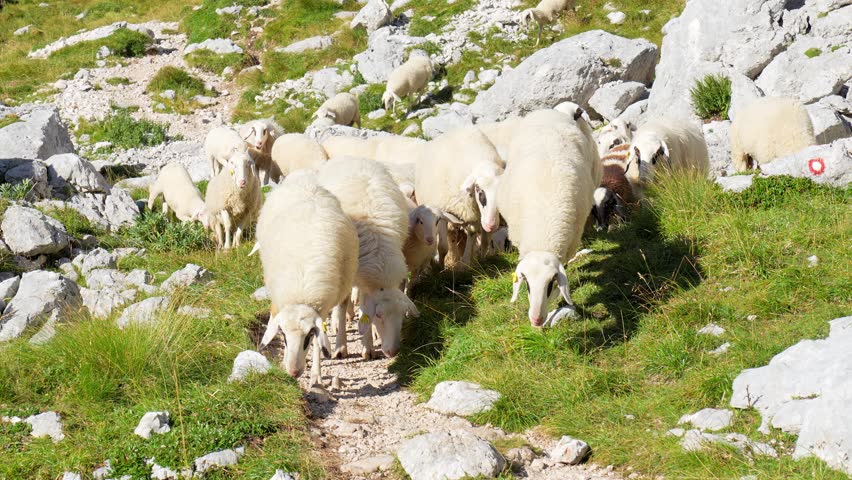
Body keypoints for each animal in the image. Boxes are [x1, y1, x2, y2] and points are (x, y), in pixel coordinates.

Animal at [256, 171, 358, 387]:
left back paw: (341, 345)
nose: (294, 372)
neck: (301, 296)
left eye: (309, 336)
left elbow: (320, 343)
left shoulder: (321, 311)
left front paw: (316, 375)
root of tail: (304, 177)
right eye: (283, 335)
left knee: (342, 308)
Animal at [316, 157, 418, 359]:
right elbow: (343, 305)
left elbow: (364, 305)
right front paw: (341, 346)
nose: (393, 351)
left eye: (402, 315)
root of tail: (350, 157)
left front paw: (369, 343)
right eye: (379, 314)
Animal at [415, 126, 504, 267]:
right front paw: (441, 267)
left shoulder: (474, 214)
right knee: (450, 236)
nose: (491, 225)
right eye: (478, 188)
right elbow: (443, 247)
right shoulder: (441, 211)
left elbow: (473, 234)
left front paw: (467, 262)